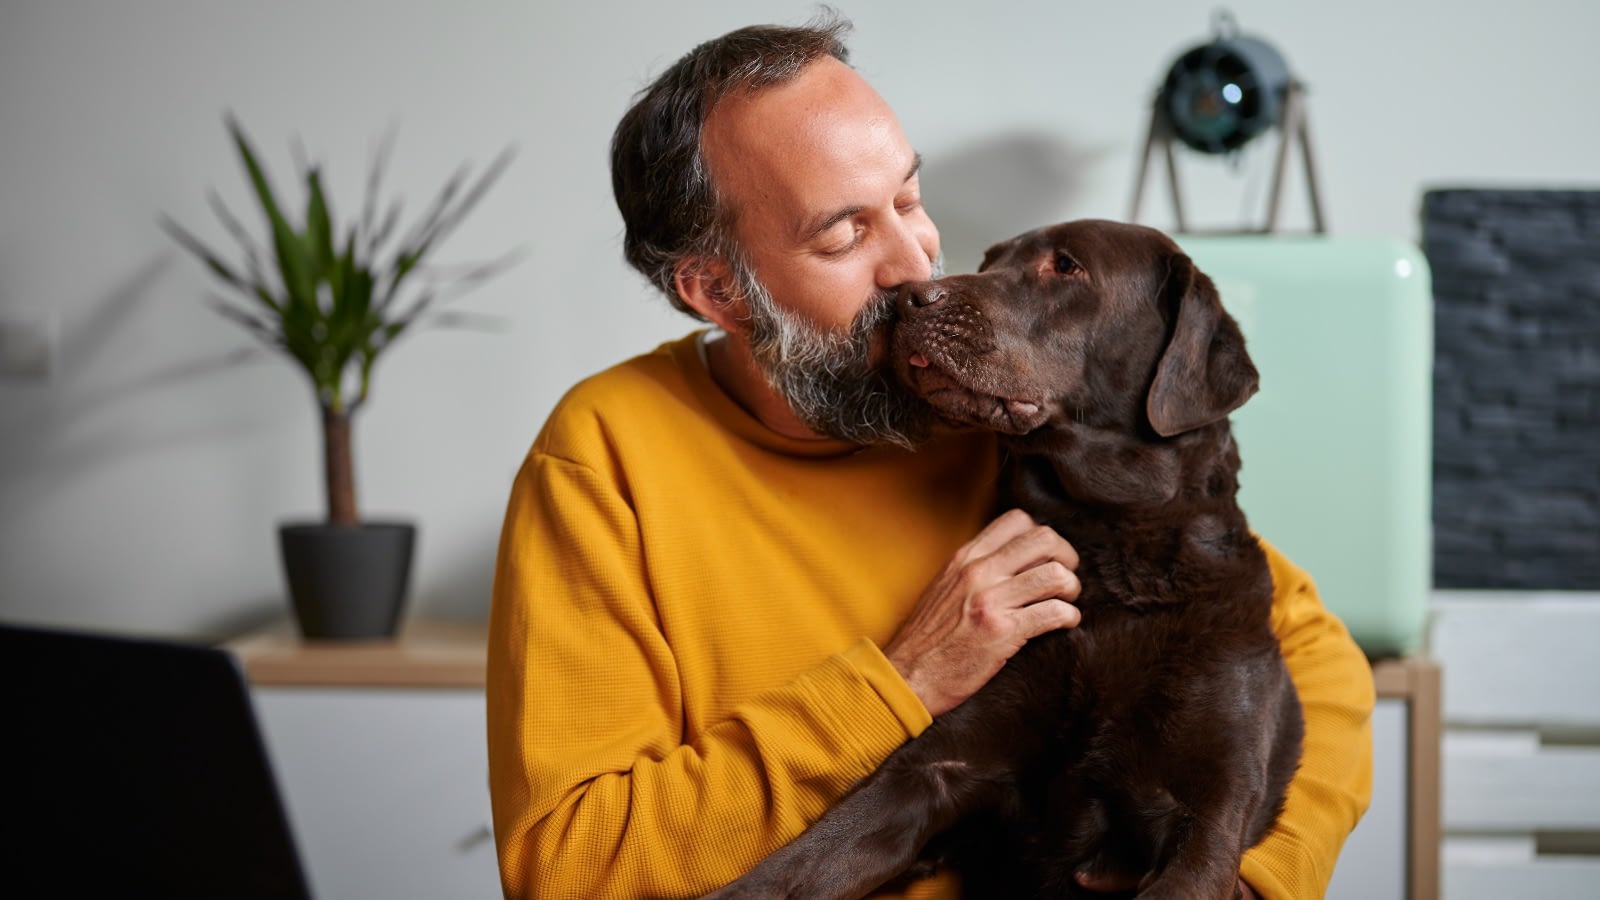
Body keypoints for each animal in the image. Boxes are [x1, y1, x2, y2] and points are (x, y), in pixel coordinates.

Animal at [710, 219, 1299, 896]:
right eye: (992, 260)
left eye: (1066, 266)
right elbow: (798, 863)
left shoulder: (1208, 817)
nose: (908, 298)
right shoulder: (934, 765)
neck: (1114, 558)